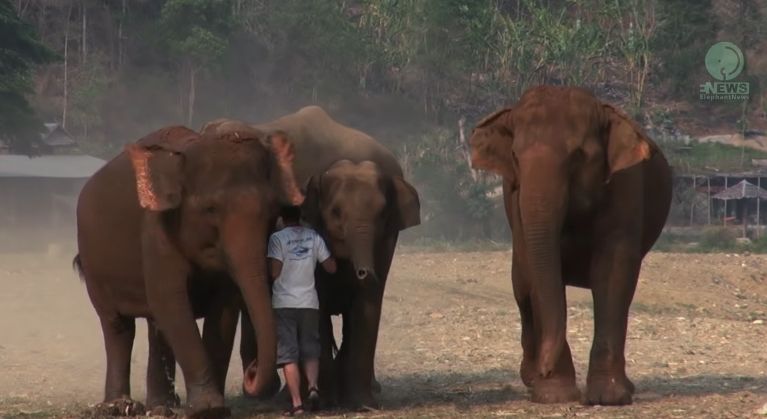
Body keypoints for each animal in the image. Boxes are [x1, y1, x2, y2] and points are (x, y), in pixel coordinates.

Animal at [74, 125, 304, 419]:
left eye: (273, 211)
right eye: (210, 209)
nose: (252, 372)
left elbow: (222, 314)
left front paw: (215, 408)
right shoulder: (156, 233)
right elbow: (172, 302)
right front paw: (208, 408)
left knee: (156, 327)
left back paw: (161, 407)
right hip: (94, 266)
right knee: (118, 327)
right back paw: (119, 406)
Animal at [468, 86, 672, 406]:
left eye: (578, 156)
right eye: (515, 156)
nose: (545, 368)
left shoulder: (626, 187)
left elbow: (612, 272)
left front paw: (608, 397)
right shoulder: (516, 203)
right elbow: (539, 274)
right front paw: (553, 394)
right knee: (521, 288)